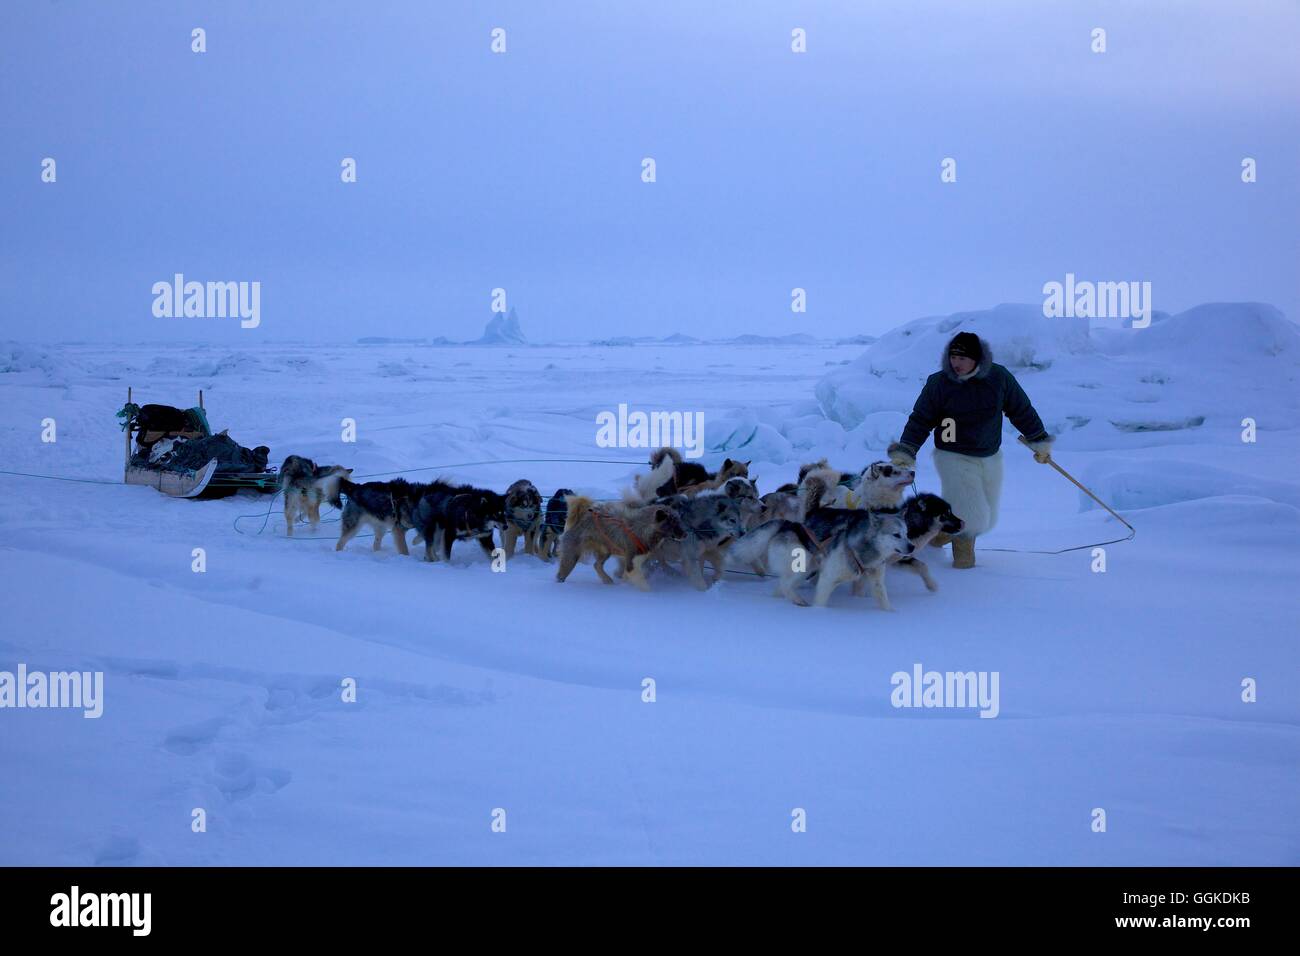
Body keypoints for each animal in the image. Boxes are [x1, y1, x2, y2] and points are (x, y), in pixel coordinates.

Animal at [553, 496, 686, 587]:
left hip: (605, 551)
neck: (642, 528)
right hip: (571, 556)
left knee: (597, 565)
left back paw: (608, 581)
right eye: (672, 523)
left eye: (679, 521)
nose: (686, 534)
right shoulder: (630, 561)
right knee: (561, 575)